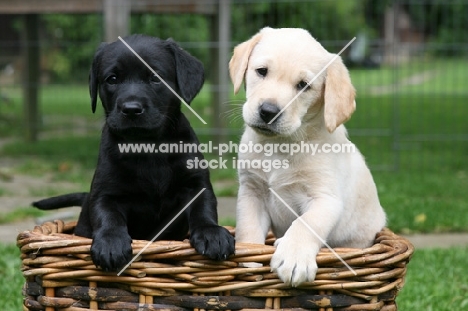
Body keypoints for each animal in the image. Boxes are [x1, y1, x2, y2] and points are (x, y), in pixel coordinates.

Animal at [33, 34, 234, 272]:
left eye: (155, 78)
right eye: (112, 79)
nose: (131, 109)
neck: (148, 147)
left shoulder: (196, 183)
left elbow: (203, 209)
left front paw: (212, 234)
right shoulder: (105, 192)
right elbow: (108, 216)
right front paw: (110, 244)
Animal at [229, 28, 386, 288]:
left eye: (303, 86)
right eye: (261, 71)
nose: (268, 112)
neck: (280, 146)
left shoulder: (326, 199)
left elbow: (307, 224)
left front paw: (293, 258)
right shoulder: (251, 192)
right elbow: (248, 229)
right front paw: (249, 262)